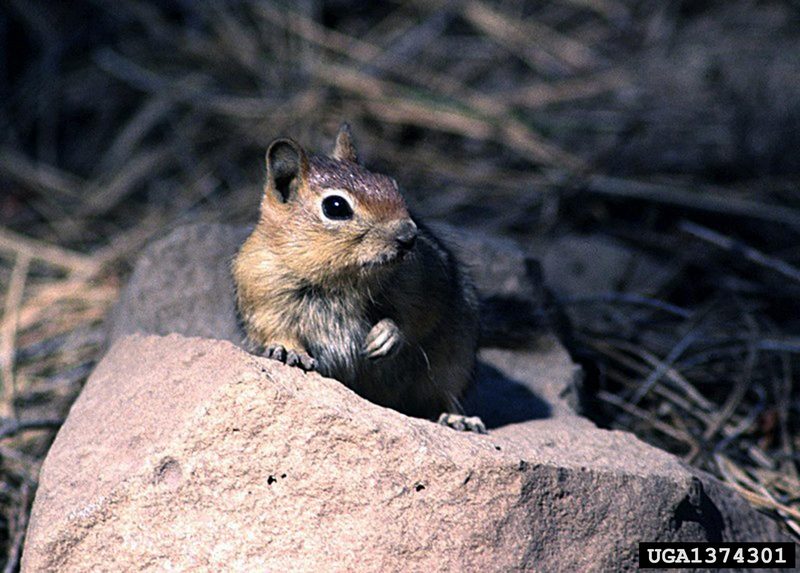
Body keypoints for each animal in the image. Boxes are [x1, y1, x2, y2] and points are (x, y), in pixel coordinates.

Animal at [231, 124, 482, 428]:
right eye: (336, 206)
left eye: (391, 184)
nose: (408, 236)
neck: (339, 279)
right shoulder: (261, 293)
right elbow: (273, 329)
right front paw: (289, 350)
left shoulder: (428, 282)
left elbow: (414, 318)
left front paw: (386, 335)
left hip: (456, 360)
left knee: (447, 394)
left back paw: (460, 420)